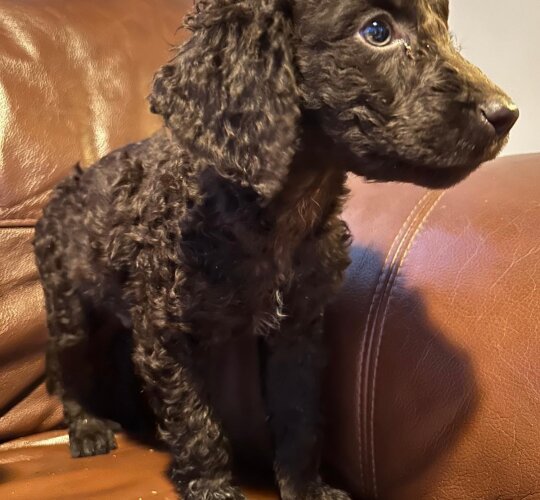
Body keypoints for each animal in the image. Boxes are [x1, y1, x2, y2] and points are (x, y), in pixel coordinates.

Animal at [34, 0, 520, 500]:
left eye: (443, 26)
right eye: (377, 32)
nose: (507, 113)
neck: (282, 212)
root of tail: (67, 186)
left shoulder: (298, 330)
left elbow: (298, 415)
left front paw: (305, 488)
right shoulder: (168, 331)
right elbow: (195, 419)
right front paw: (211, 487)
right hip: (69, 309)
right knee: (66, 369)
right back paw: (88, 428)